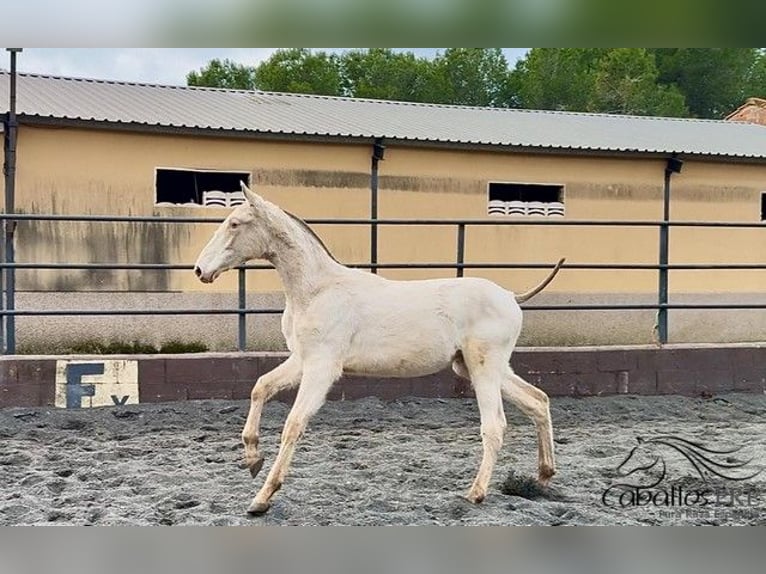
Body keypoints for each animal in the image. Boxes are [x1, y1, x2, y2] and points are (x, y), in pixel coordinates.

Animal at [194, 181, 565, 515]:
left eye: (234, 223)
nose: (200, 270)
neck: (316, 290)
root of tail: (511, 296)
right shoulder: (302, 360)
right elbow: (260, 388)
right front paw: (253, 460)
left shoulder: (322, 368)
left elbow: (294, 424)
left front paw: (262, 498)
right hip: (478, 367)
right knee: (537, 401)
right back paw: (543, 478)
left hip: (484, 367)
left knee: (495, 425)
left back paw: (476, 493)